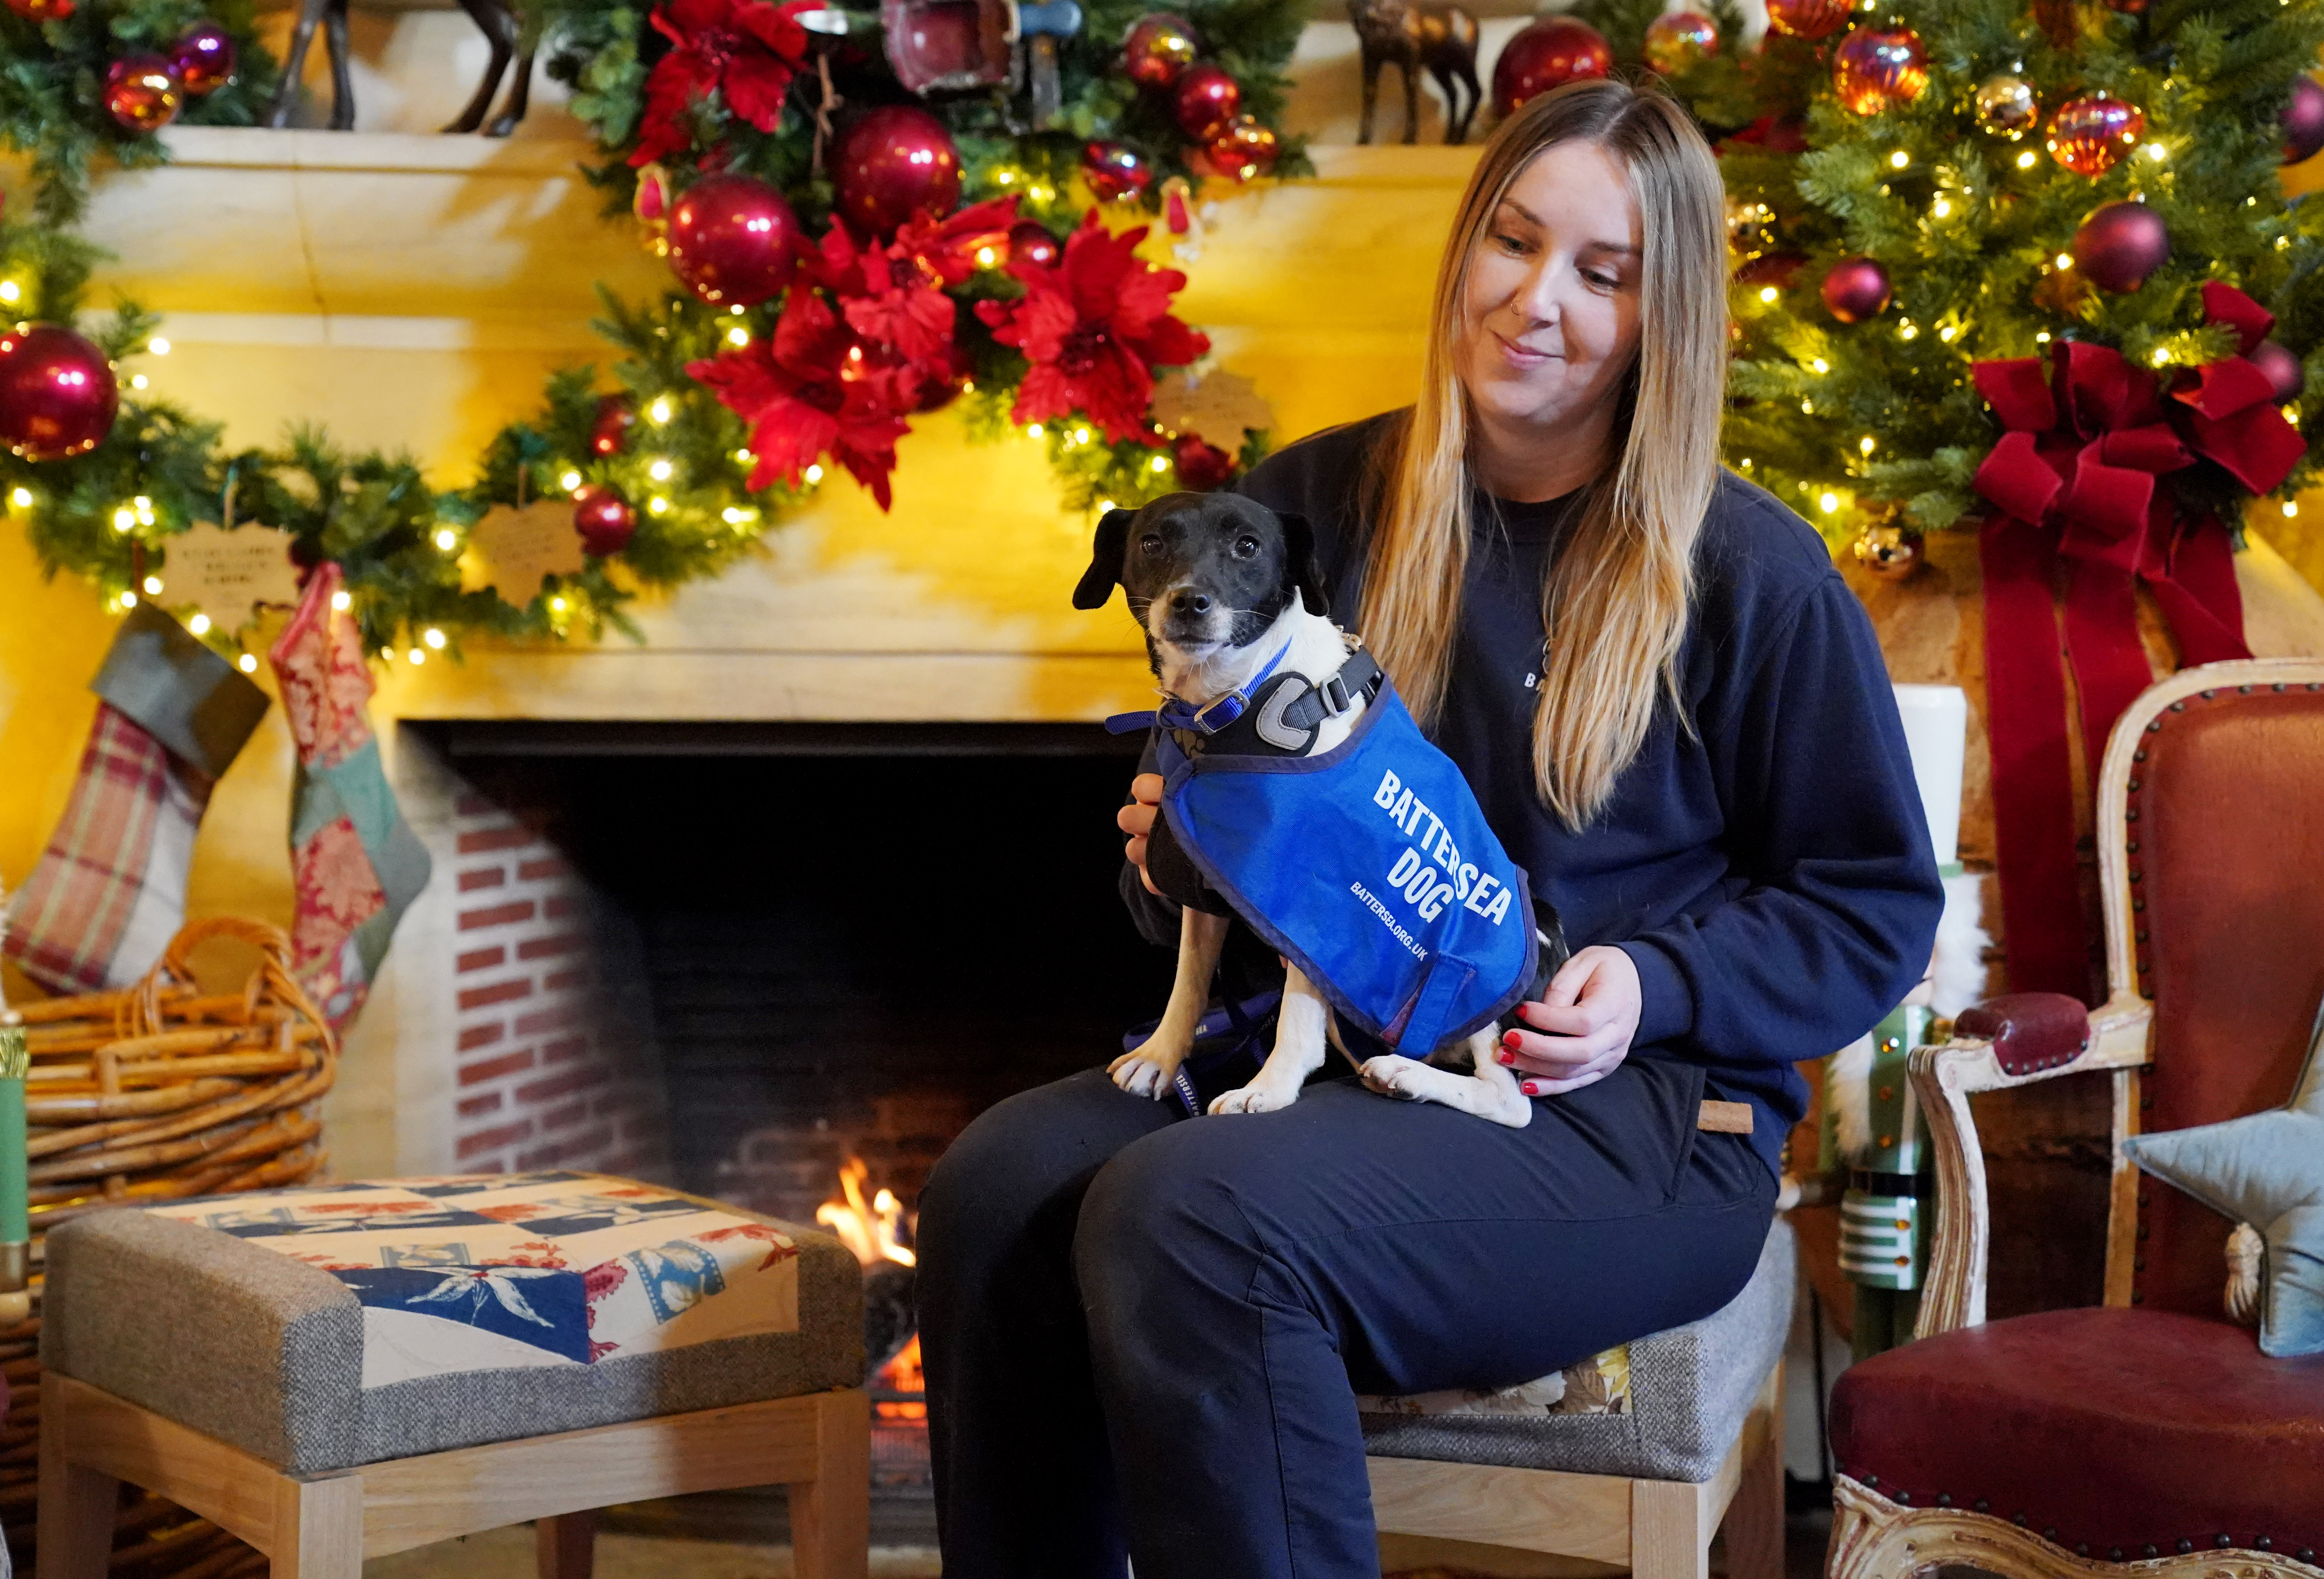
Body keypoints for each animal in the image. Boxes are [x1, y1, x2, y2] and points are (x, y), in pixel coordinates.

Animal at [1074, 492, 1562, 1124]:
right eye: (1152, 543)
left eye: (1248, 546)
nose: (1188, 602)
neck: (1240, 702)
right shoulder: (1208, 883)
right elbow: (1189, 981)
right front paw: (1160, 1056)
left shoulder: (1315, 902)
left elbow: (1297, 1017)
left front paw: (1270, 1088)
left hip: (1490, 988)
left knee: (1507, 1098)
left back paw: (1408, 1074)